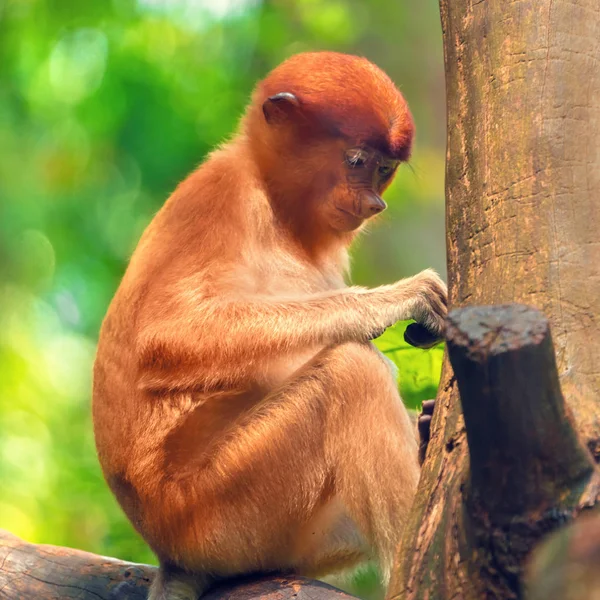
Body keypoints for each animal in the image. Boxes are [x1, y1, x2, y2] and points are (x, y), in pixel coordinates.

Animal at [92, 51, 446, 600]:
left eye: (384, 168)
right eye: (356, 160)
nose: (375, 205)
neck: (280, 208)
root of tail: (168, 549)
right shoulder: (224, 197)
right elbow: (164, 336)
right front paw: (394, 301)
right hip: (217, 510)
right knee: (351, 373)